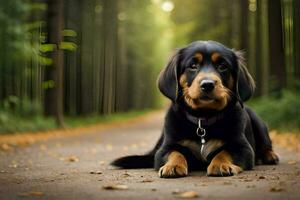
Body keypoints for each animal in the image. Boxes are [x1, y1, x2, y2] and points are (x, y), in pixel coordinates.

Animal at [112, 39, 278, 177]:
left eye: (222, 66)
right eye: (192, 66)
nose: (207, 84)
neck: (203, 119)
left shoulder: (243, 148)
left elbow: (225, 152)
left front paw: (220, 164)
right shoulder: (164, 149)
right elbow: (175, 152)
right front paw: (172, 166)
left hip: (258, 122)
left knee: (266, 144)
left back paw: (270, 156)